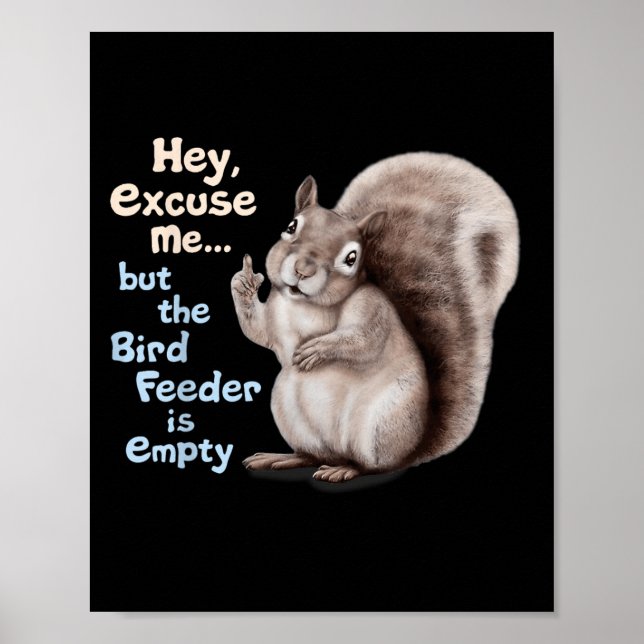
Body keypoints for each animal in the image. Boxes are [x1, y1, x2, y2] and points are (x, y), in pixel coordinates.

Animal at [231, 152, 519, 483]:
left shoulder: (372, 308)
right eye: (291, 226)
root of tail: (413, 449)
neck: (304, 304)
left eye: (352, 258)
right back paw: (282, 458)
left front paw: (318, 349)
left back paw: (344, 469)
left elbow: (363, 340)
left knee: (372, 465)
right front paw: (244, 281)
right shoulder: (275, 315)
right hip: (288, 411)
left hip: (378, 426)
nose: (303, 269)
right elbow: (257, 330)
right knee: (313, 455)